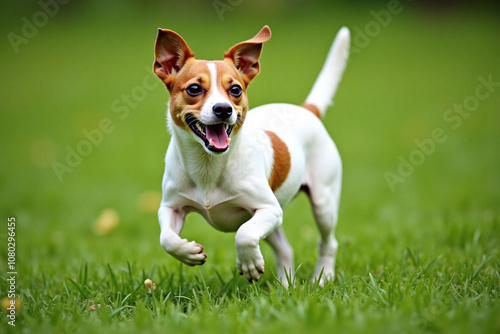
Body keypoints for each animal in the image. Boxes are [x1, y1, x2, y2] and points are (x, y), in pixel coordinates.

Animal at [154, 25, 350, 288]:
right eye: (194, 89)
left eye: (235, 89)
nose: (223, 109)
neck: (209, 166)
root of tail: (307, 110)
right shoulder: (170, 207)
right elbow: (166, 238)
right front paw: (188, 252)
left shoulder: (270, 210)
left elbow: (244, 234)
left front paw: (249, 264)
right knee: (285, 249)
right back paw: (286, 287)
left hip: (322, 204)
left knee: (329, 243)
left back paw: (323, 277)